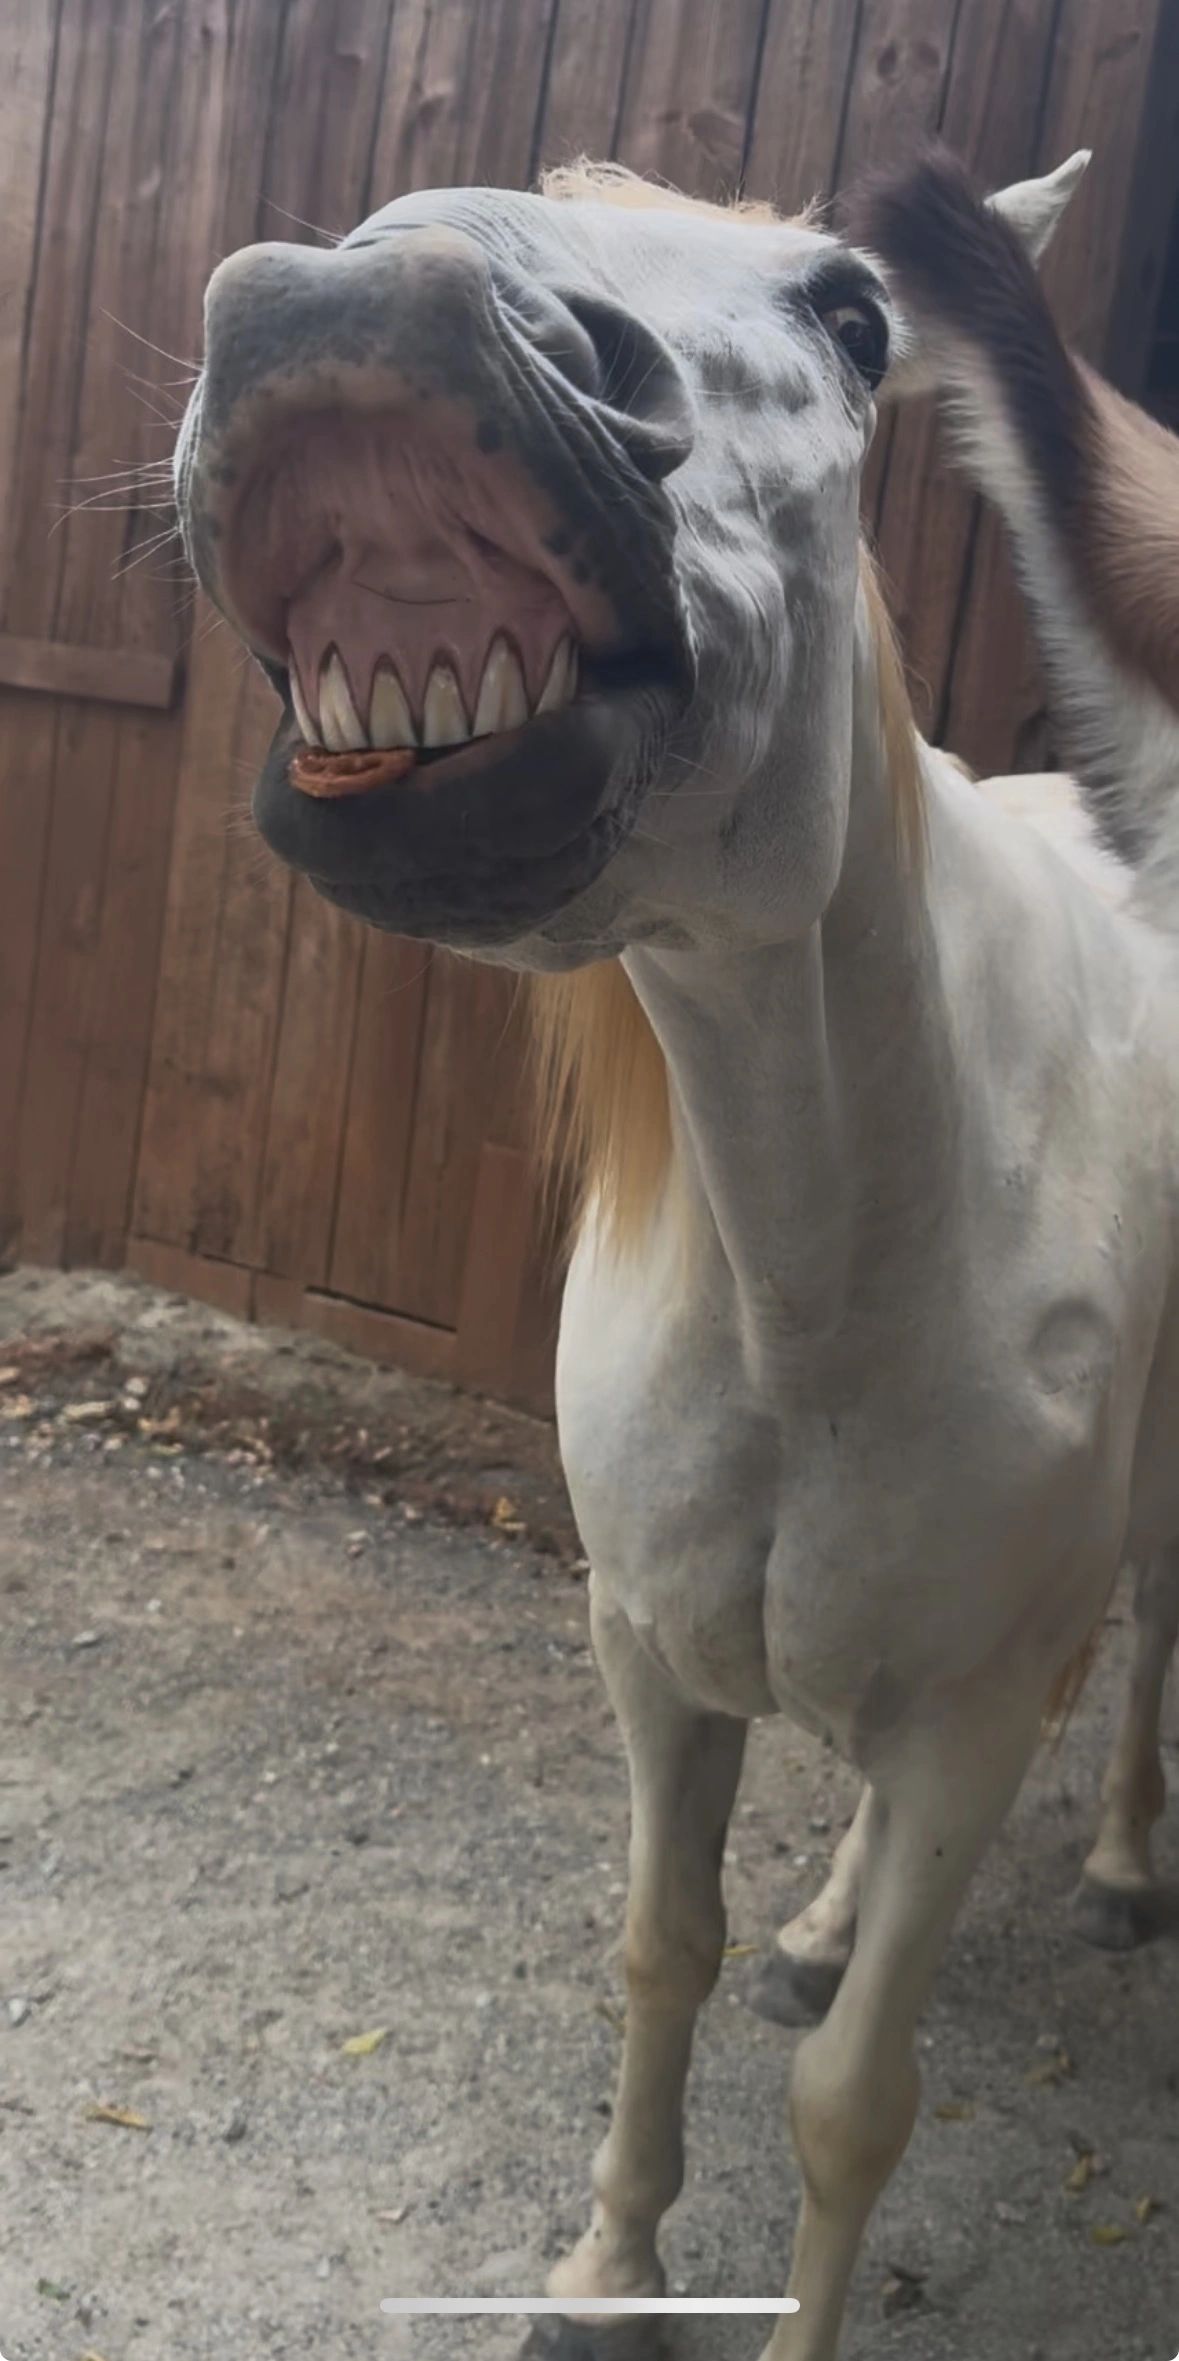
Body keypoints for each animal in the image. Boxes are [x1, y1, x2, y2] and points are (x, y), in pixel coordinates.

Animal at [171, 150, 1179, 2359]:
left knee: (1150, 1631)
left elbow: (849, 2100)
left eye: (854, 319)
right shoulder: (646, 1648)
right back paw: (831, 1915)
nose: (366, 299)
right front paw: (601, 2270)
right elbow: (662, 1950)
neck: (829, 1284)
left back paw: (1124, 1863)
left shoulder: (975, 1707)